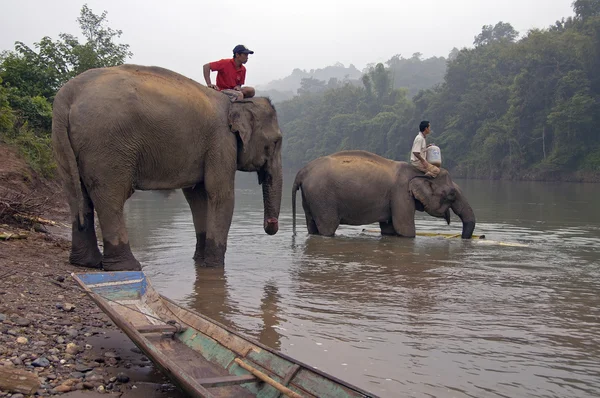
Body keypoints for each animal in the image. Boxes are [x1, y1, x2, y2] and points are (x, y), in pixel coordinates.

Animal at [52, 64, 284, 270]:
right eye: (276, 141)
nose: (270, 225)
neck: (237, 103)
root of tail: (67, 95)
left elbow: (198, 197)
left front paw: (199, 261)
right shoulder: (221, 141)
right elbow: (220, 195)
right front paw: (214, 267)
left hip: (66, 142)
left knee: (76, 195)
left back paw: (86, 263)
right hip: (108, 142)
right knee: (111, 196)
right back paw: (127, 266)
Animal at [292, 149, 476, 236]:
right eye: (451, 194)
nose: (462, 237)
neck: (417, 171)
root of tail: (302, 171)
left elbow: (389, 229)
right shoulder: (401, 194)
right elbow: (405, 229)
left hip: (311, 197)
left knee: (312, 226)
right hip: (322, 197)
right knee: (327, 228)